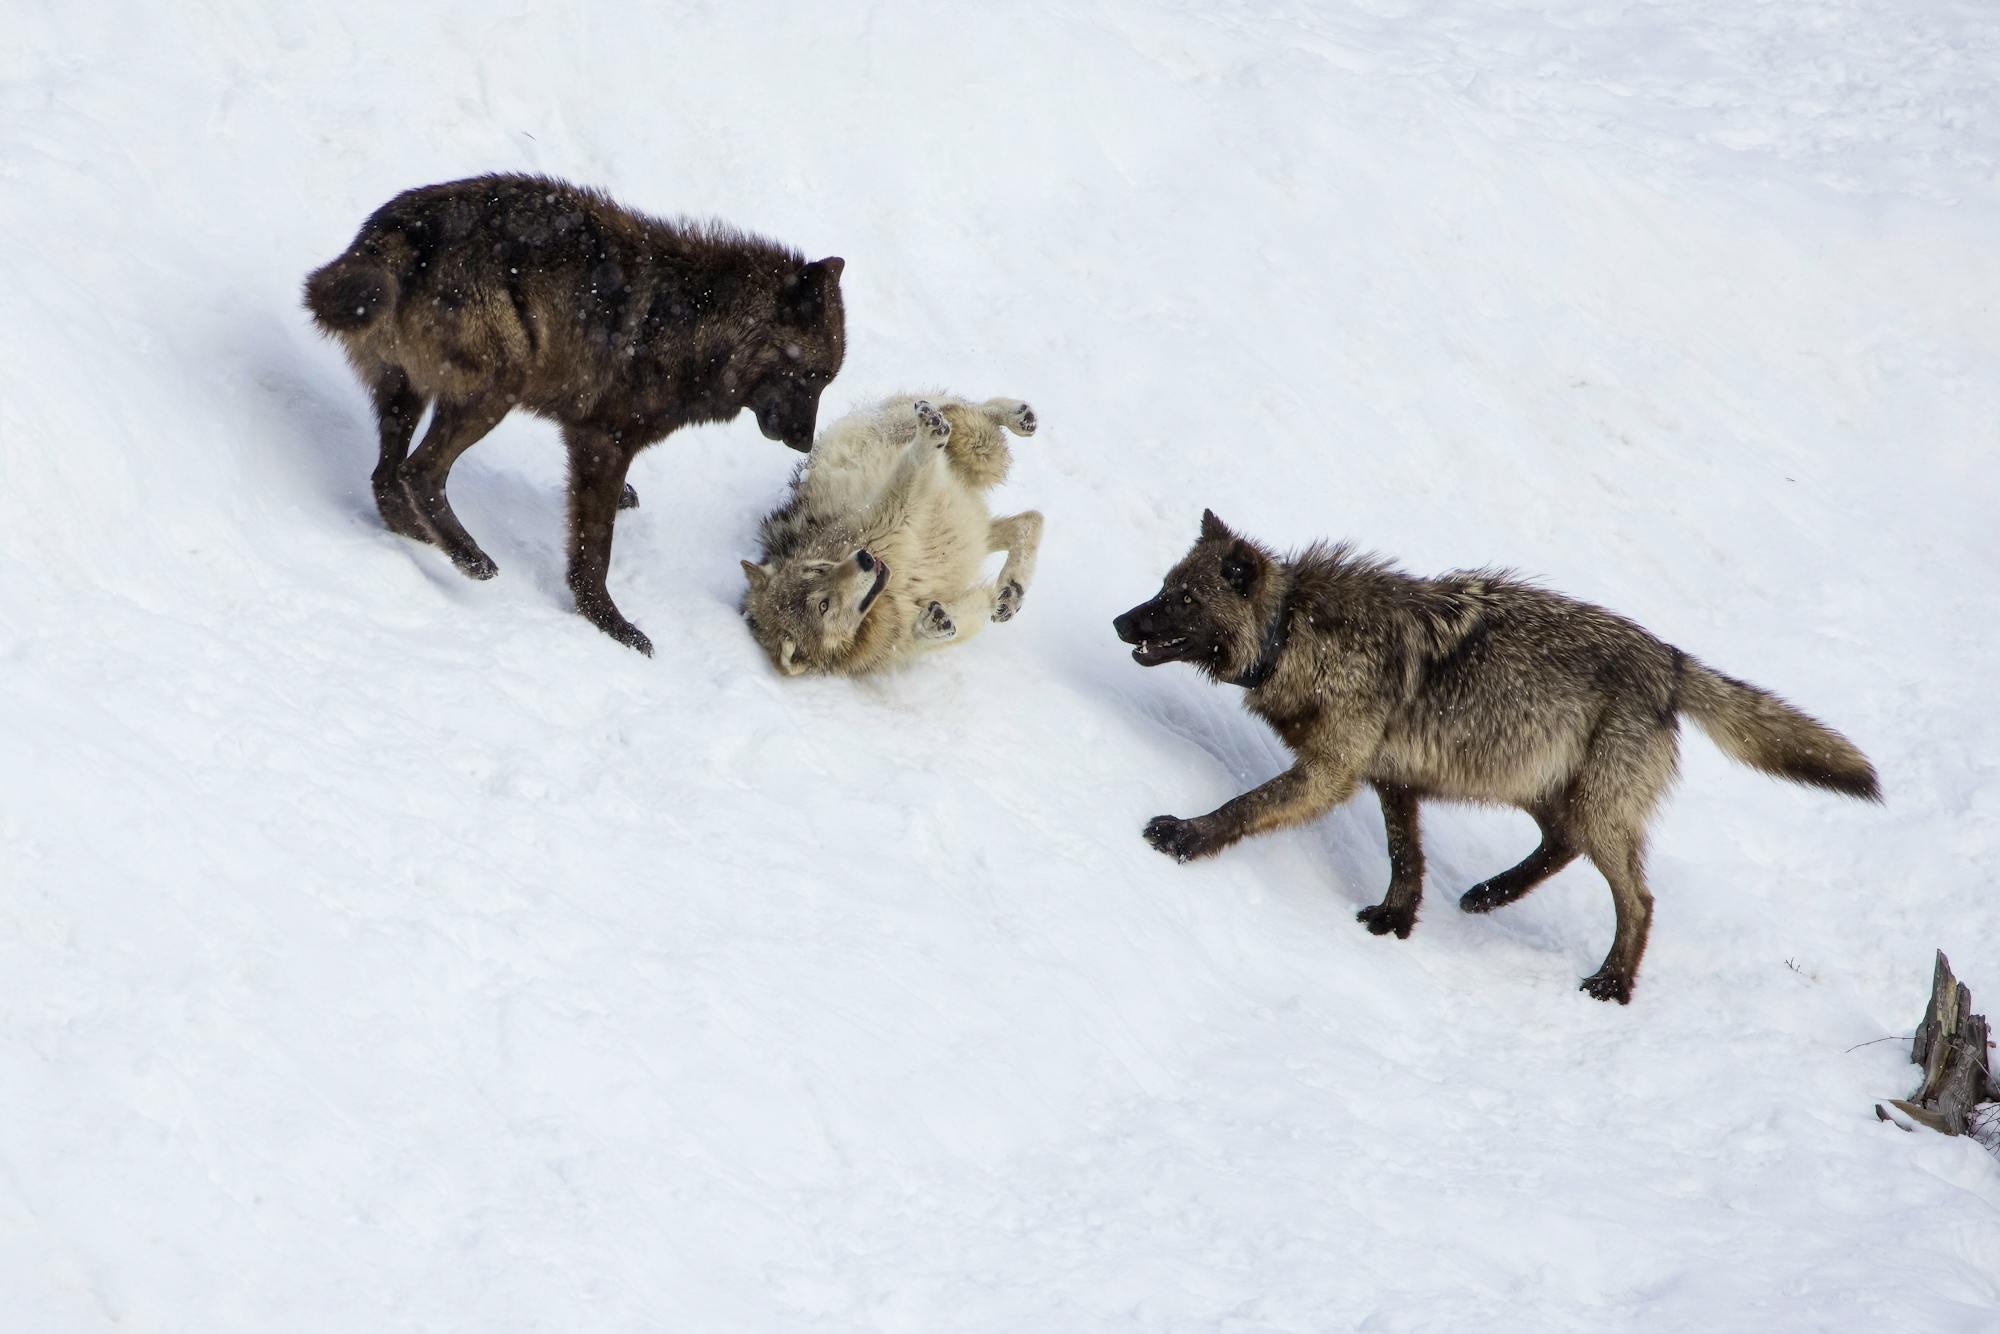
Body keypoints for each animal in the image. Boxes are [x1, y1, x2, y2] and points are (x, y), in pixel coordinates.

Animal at [303, 173, 846, 655]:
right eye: (810, 375)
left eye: (826, 381)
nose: (805, 443)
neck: (700, 325)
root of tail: (398, 229)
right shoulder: (604, 442)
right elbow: (595, 554)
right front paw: (611, 624)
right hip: (496, 390)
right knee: (418, 472)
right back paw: (469, 556)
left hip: (406, 395)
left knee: (385, 476)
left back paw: (418, 536)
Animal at [741, 394, 1043, 677]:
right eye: (823, 606)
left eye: (817, 570)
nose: (865, 558)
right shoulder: (898, 637)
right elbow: (962, 617)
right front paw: (933, 624)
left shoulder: (887, 515)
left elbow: (913, 461)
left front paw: (929, 434)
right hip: (973, 518)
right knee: (1030, 519)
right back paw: (1011, 590)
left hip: (962, 453)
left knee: (972, 410)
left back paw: (1014, 417)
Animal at [1114, 511, 1880, 1003]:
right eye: (1162, 586)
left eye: (1183, 598)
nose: (1122, 621)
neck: (1293, 632)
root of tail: (1669, 660)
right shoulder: (1392, 781)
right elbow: (1405, 858)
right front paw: (1395, 921)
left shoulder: (1329, 776)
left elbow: (1244, 807)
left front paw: (1183, 836)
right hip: (1538, 788)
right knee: (1560, 846)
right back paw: (1488, 895)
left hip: (1588, 806)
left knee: (1637, 899)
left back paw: (1611, 983)